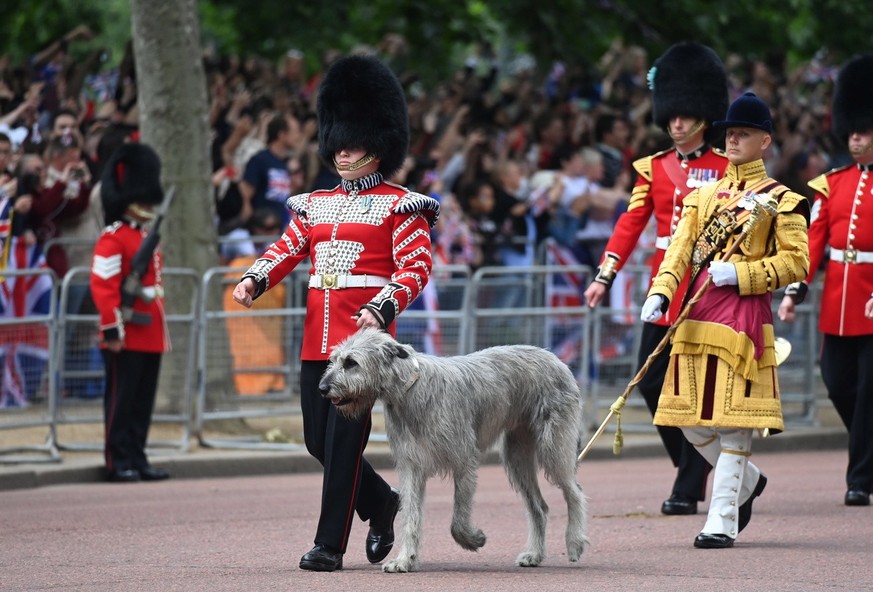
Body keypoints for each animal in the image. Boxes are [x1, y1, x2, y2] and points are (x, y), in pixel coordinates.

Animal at [316, 326, 588, 572]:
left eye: (351, 362)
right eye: (334, 360)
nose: (322, 388)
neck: (409, 390)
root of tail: (556, 359)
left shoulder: (464, 462)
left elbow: (458, 519)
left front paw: (474, 539)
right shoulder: (412, 467)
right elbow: (411, 516)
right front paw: (405, 560)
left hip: (553, 448)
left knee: (574, 491)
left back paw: (575, 542)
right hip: (516, 457)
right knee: (539, 507)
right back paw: (534, 554)